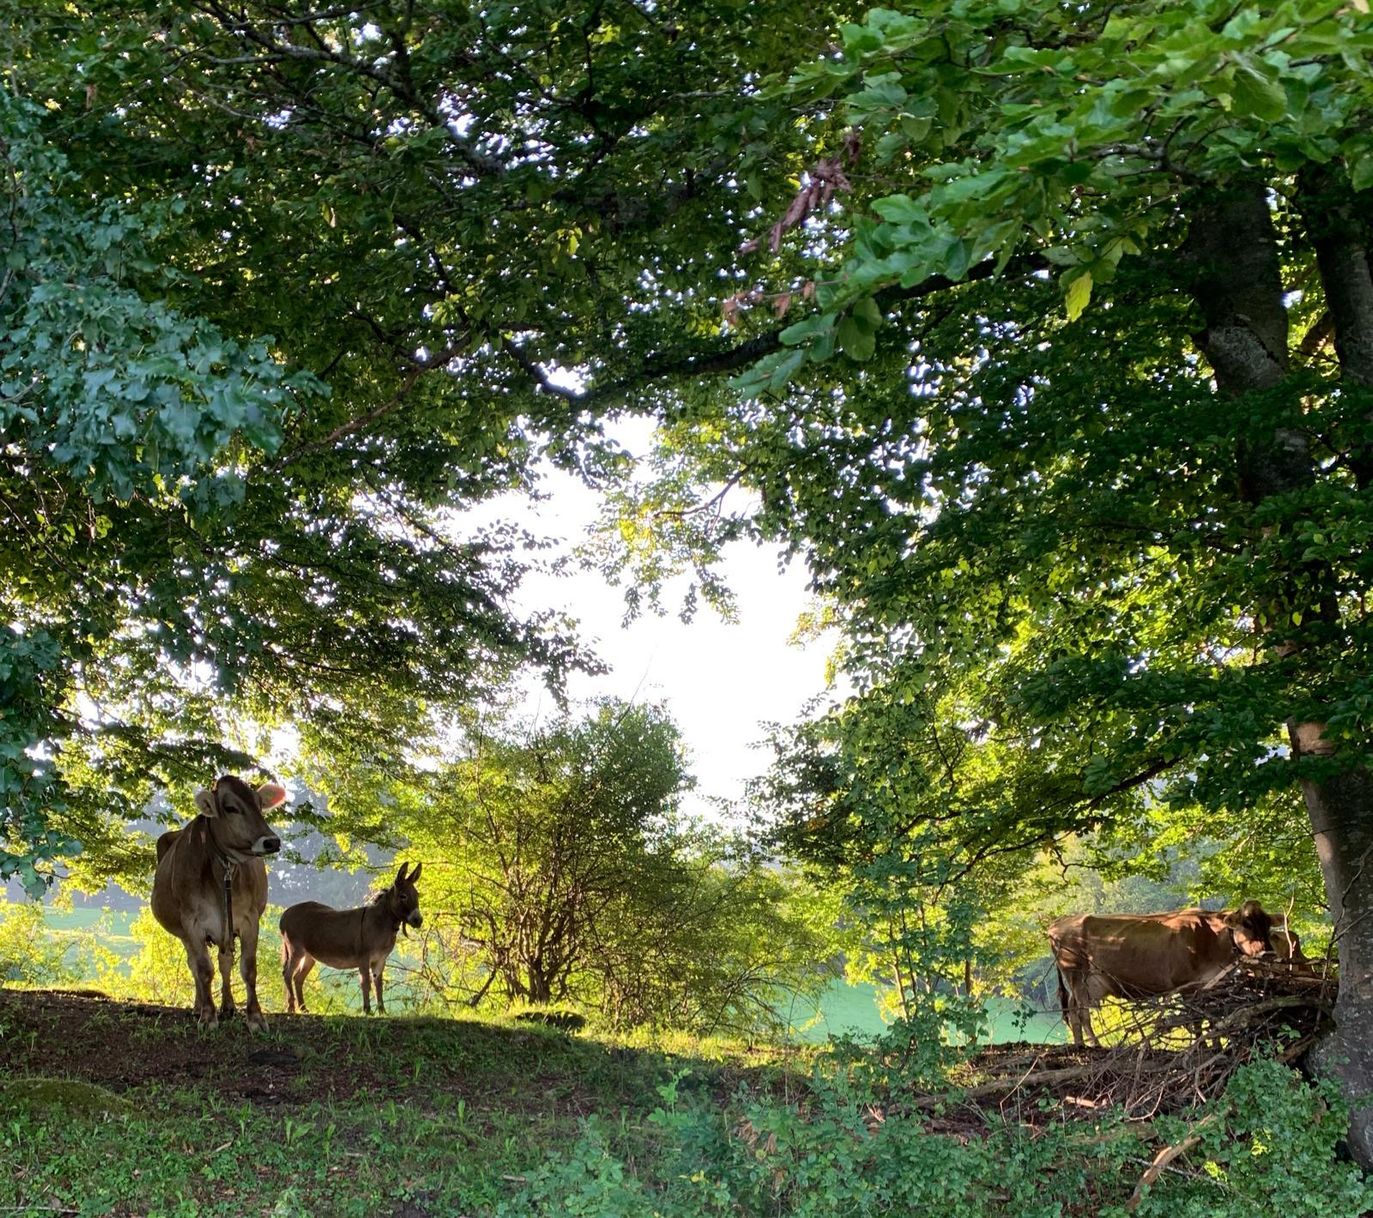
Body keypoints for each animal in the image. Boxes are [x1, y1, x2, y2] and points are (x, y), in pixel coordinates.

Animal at [151, 775, 286, 1030]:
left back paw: (228, 1005)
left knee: (225, 963)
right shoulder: (192, 923)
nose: (271, 842)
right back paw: (198, 1006)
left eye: (259, 804)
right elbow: (204, 969)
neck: (223, 871)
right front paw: (207, 1016)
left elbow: (248, 968)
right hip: (185, 933)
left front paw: (255, 1018)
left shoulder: (249, 919)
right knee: (194, 964)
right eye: (231, 808)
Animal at [279, 862, 423, 1016]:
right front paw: (367, 1010)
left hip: (309, 956)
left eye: (417, 895)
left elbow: (378, 985)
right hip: (296, 950)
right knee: (287, 974)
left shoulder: (380, 960)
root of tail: (285, 913)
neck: (381, 922)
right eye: (403, 896)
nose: (419, 920)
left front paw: (382, 1011)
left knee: (297, 978)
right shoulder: (364, 958)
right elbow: (365, 983)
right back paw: (291, 1007)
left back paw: (304, 1008)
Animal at [1046, 901, 1274, 1047]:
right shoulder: (1187, 984)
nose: (1268, 951)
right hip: (1076, 973)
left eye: (1269, 925)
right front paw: (1202, 1046)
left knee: (1073, 1009)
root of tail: (1058, 923)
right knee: (1080, 1012)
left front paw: (1216, 1045)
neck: (1211, 936)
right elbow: (1196, 1019)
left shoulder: (1210, 984)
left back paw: (1081, 1045)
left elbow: (1212, 1017)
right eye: (1247, 924)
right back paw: (1093, 1045)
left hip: (1090, 983)